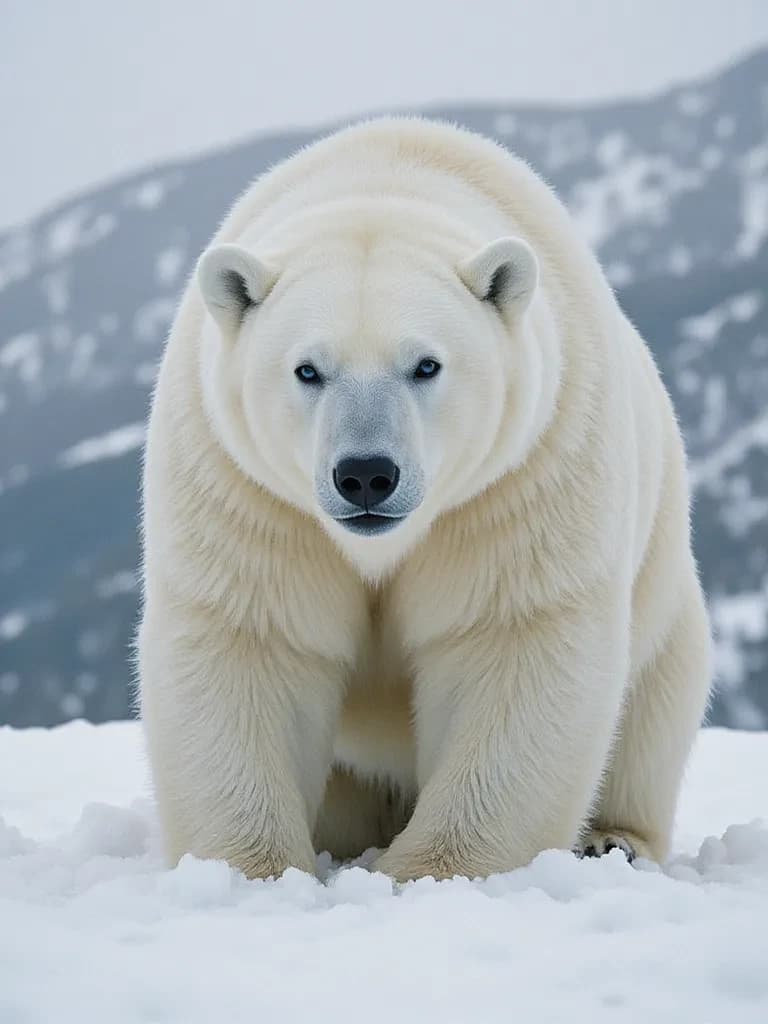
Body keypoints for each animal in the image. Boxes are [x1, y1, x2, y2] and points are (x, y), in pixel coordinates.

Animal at [138, 116, 712, 881]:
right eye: (307, 369)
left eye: (426, 364)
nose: (365, 475)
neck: (390, 175)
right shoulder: (247, 489)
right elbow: (251, 637)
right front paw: (252, 869)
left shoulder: (522, 475)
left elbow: (510, 638)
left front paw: (428, 870)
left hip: (665, 610)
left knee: (651, 711)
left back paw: (610, 839)